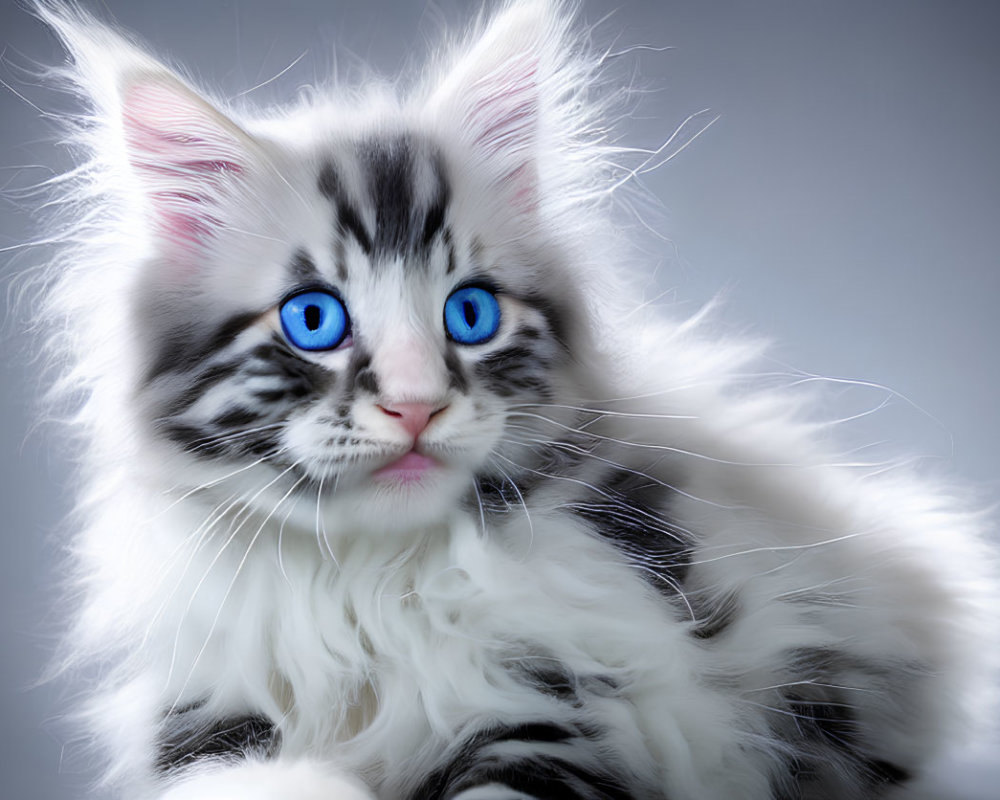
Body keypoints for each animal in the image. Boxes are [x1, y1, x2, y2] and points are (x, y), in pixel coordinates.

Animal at [31, 1, 992, 800]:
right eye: (314, 319)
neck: (370, 584)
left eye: (471, 313)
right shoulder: (203, 707)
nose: (416, 405)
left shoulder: (570, 708)